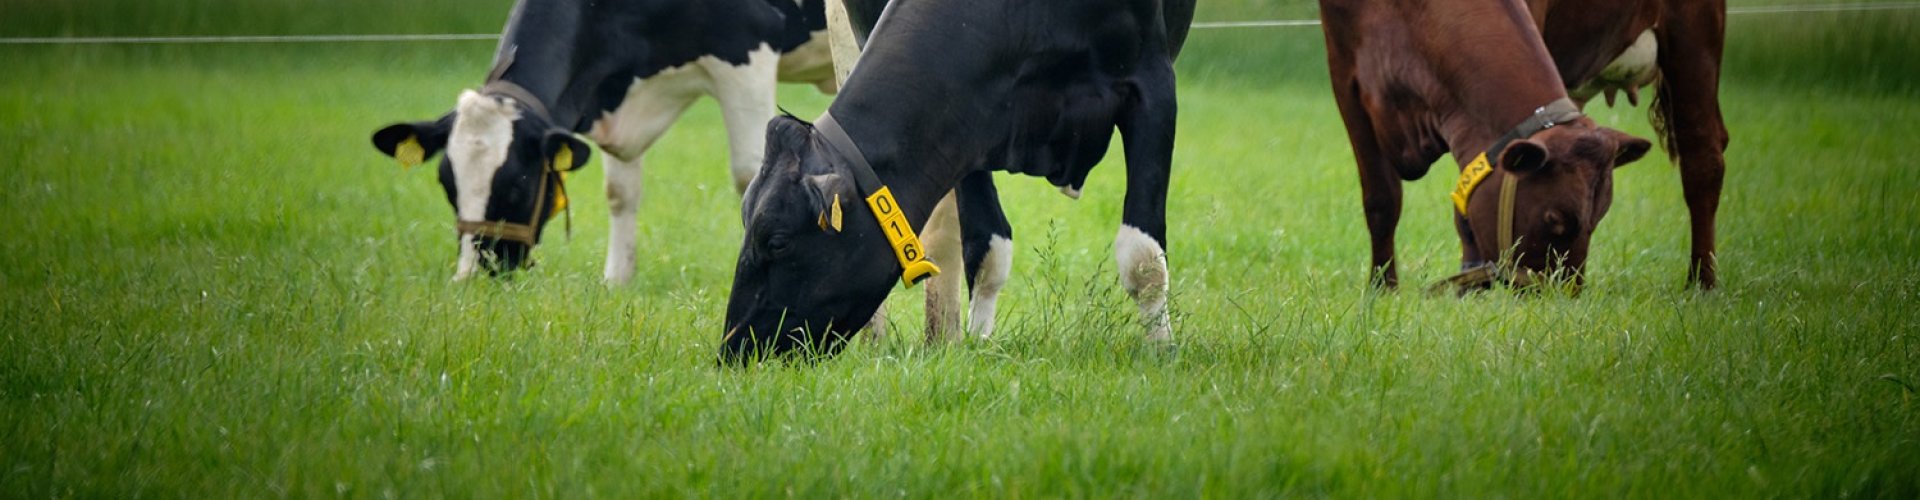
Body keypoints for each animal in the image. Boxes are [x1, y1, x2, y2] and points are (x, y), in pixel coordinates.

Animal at [368, 0, 838, 280]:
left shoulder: (746, 49)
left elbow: (749, 173)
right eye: (448, 185)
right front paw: (616, 281)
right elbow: (620, 191)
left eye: (517, 184)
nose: (471, 276)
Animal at [722, 0, 1197, 361]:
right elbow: (986, 246)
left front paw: (1161, 350)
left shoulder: (1153, 82)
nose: (735, 349)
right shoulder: (965, 125)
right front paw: (978, 345)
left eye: (776, 241)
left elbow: (1142, 257)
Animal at [1318, 0, 1655, 292]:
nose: (1564, 295)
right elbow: (1382, 201)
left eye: (1598, 218)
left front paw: (1471, 290)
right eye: (1554, 219)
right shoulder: (1345, 75)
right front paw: (1383, 289)